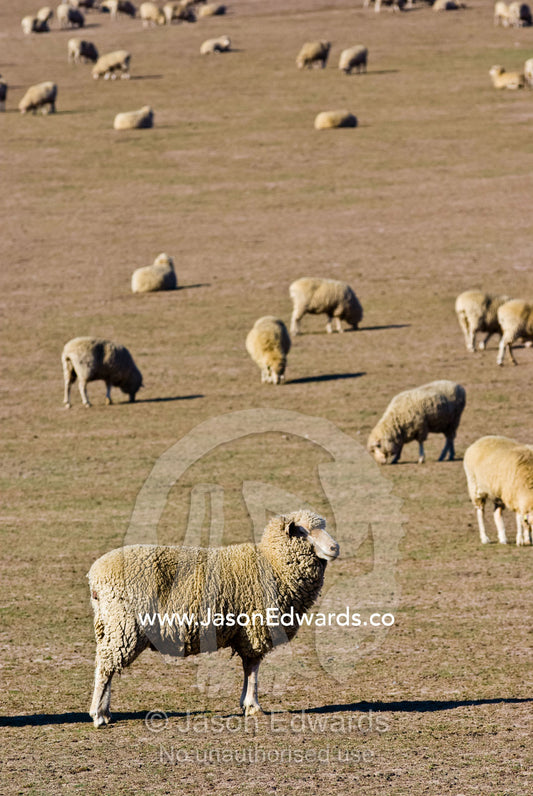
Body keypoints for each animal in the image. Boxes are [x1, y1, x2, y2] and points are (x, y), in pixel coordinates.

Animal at [88, 509, 339, 727]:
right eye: (303, 530)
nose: (335, 547)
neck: (272, 563)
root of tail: (95, 576)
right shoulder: (255, 629)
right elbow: (253, 668)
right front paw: (253, 706)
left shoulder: (246, 632)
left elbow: (249, 668)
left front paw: (246, 704)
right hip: (123, 625)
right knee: (106, 666)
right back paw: (98, 715)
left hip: (109, 624)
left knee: (106, 665)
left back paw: (105, 712)